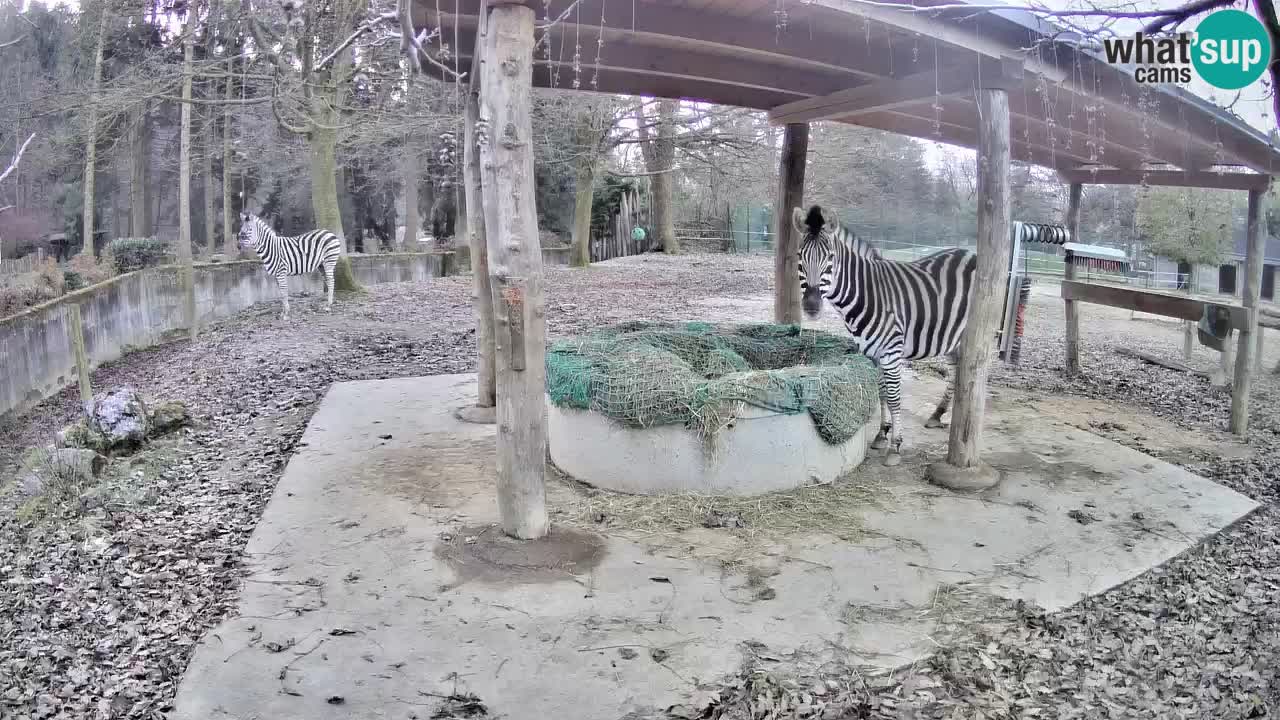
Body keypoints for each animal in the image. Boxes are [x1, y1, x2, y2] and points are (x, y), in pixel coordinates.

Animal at [788, 204, 977, 468]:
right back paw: (937, 414)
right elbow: (881, 393)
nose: (812, 306)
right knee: (957, 370)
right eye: (799, 256)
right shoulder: (872, 353)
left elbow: (895, 396)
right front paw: (881, 434)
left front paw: (895, 447)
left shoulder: (891, 352)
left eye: (830, 258)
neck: (866, 295)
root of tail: (971, 253)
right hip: (951, 337)